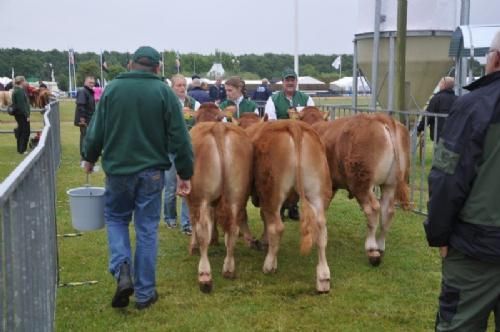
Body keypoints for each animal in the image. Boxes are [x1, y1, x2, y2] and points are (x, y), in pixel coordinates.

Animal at [186, 122, 252, 294]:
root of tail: (218, 127)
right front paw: (215, 238)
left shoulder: (191, 200)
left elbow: (194, 223)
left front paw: (193, 246)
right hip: (236, 195)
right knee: (233, 229)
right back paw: (228, 269)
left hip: (202, 197)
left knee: (203, 231)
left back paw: (205, 276)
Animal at [245, 120, 332, 292]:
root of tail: (294, 125)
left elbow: (265, 219)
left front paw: (264, 243)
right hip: (317, 192)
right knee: (321, 229)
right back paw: (323, 277)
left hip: (272, 193)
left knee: (277, 226)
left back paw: (269, 265)